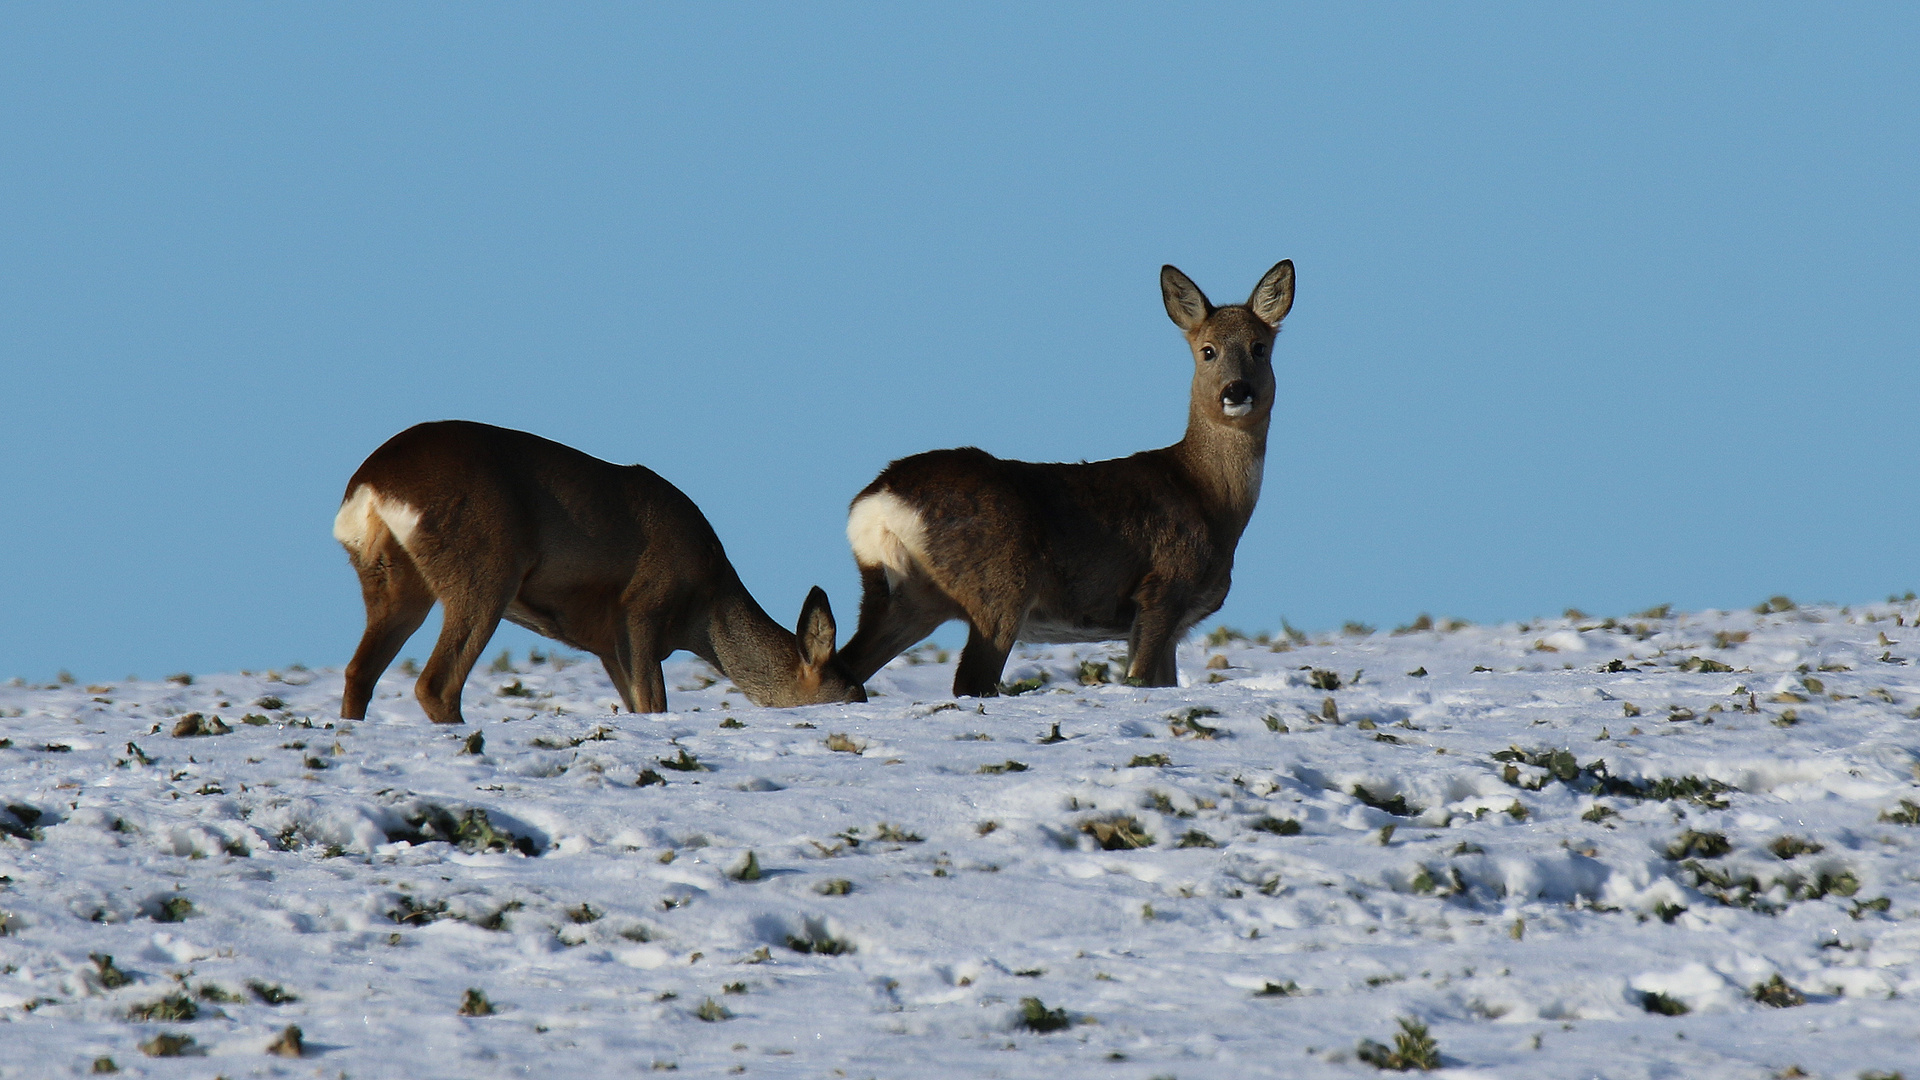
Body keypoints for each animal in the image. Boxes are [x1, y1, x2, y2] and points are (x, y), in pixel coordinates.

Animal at [337, 420, 864, 722]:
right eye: (852, 696)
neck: (706, 603)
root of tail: (369, 485)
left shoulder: (608, 643)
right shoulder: (642, 607)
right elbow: (654, 704)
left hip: (392, 583)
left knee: (359, 672)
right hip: (485, 568)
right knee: (435, 684)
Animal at [837, 261, 1290, 699]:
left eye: (1259, 347)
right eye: (1208, 350)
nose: (1237, 391)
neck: (1208, 498)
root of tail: (877, 501)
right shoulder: (1163, 588)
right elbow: (1141, 677)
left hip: (904, 596)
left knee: (847, 667)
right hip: (1000, 585)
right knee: (970, 679)